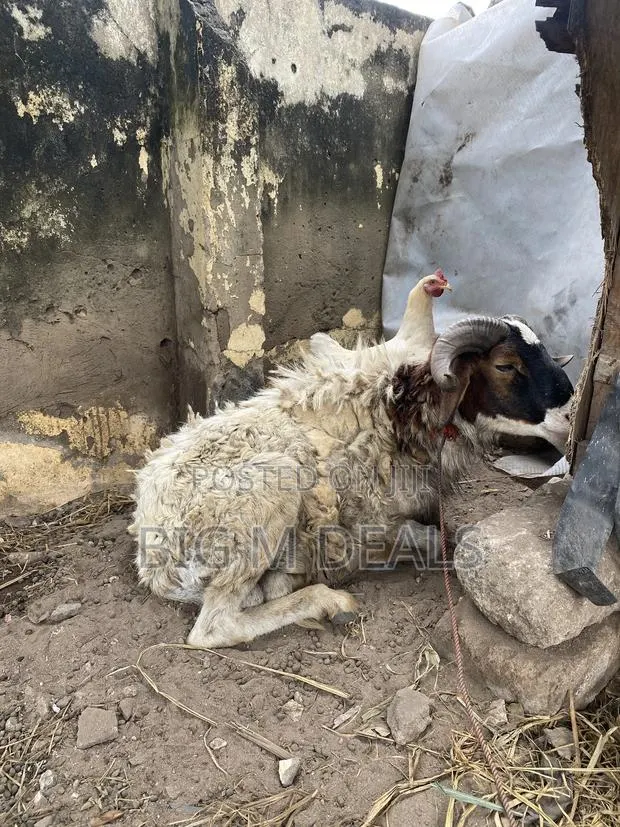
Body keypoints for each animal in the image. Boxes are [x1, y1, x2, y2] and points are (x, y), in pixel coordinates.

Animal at [129, 311, 573, 650]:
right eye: (505, 366)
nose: (570, 417)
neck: (395, 412)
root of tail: (152, 557)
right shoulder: (368, 521)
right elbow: (439, 539)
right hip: (261, 501)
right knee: (213, 627)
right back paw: (328, 601)